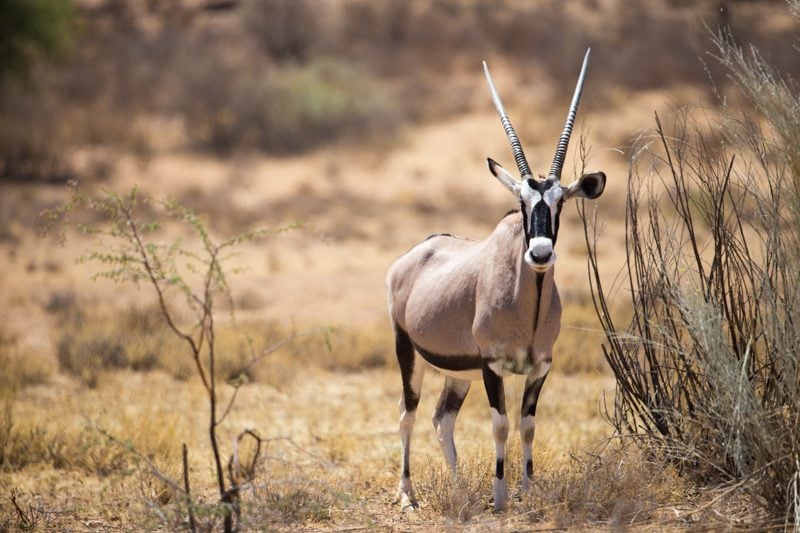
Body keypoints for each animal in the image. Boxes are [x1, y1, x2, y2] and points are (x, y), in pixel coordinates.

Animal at [388, 50, 608, 512]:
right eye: (521, 202)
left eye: (560, 202)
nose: (540, 254)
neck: (528, 304)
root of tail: (414, 254)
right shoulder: (493, 366)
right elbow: (501, 425)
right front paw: (501, 495)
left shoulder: (540, 366)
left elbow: (527, 426)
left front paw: (527, 490)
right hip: (407, 353)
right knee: (408, 413)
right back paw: (408, 494)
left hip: (456, 372)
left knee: (441, 418)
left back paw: (460, 494)